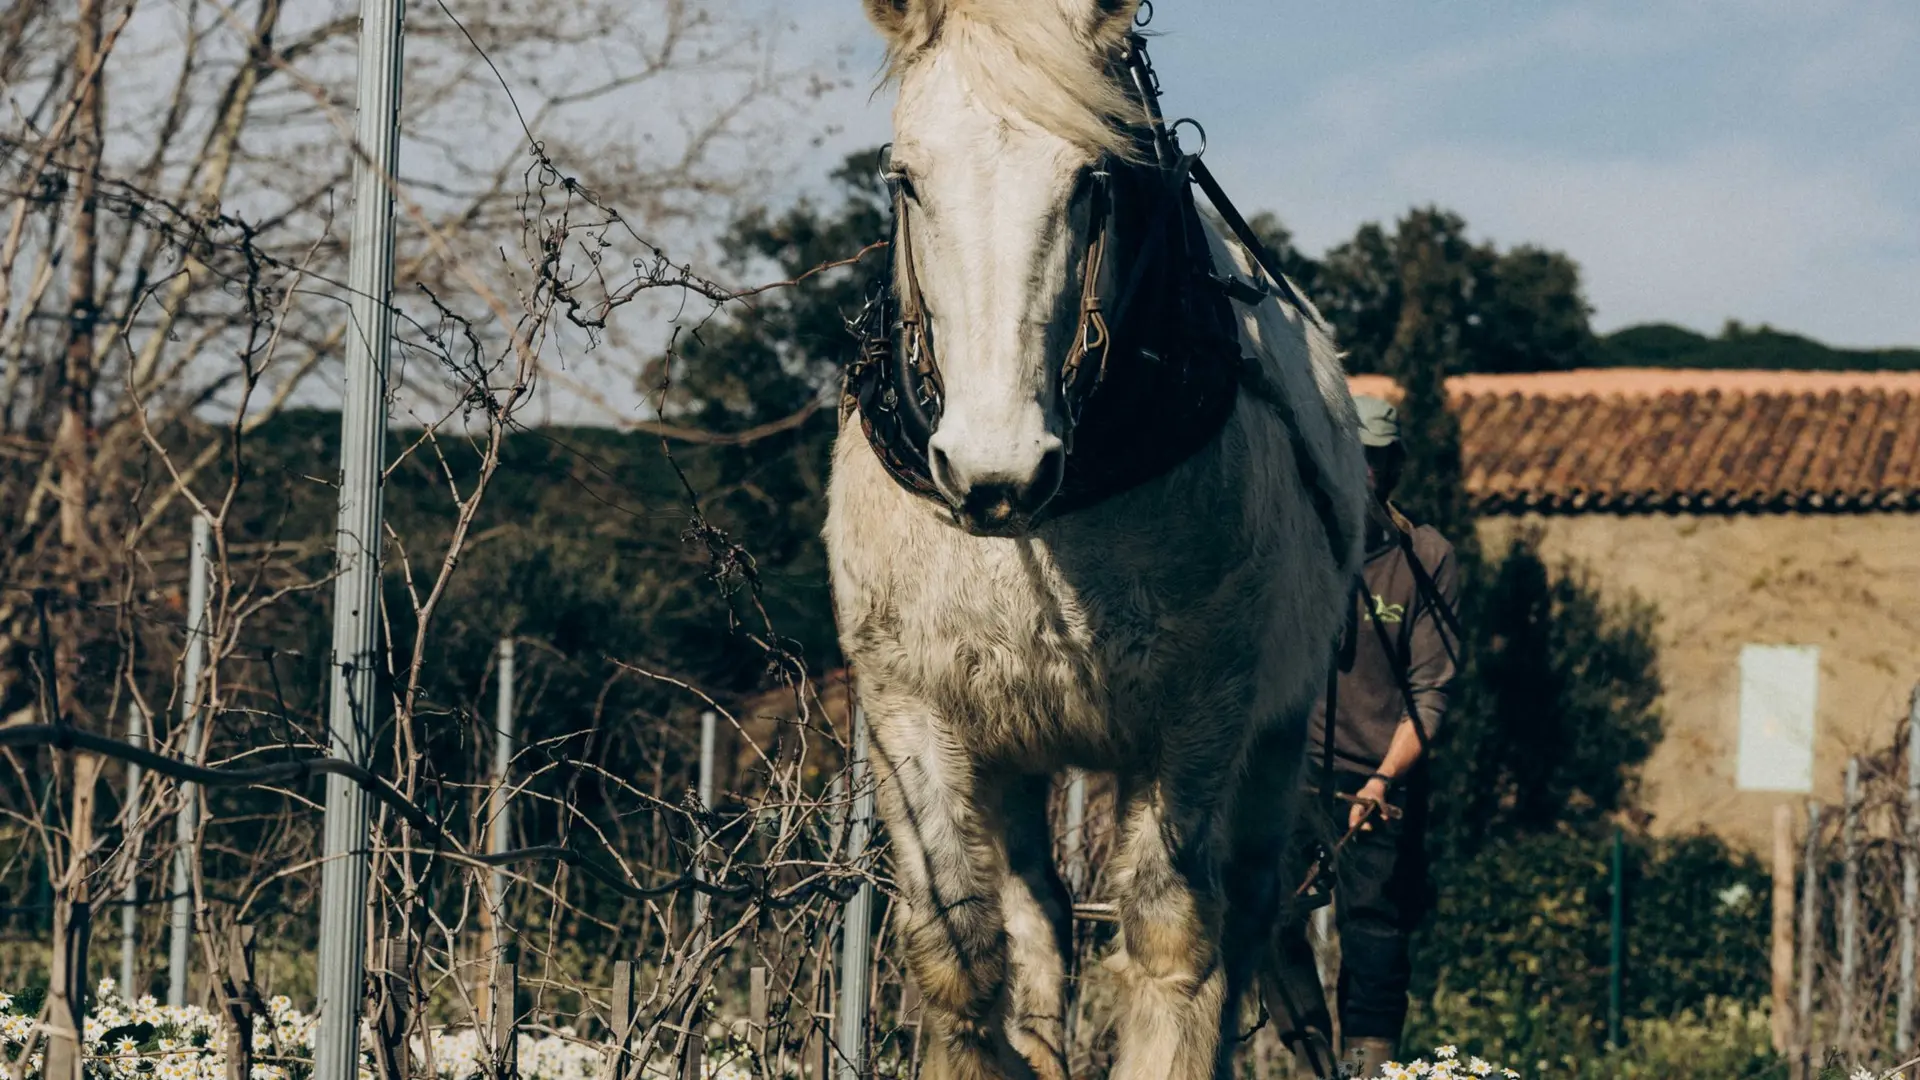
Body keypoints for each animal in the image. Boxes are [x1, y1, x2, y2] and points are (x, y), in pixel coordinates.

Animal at [821, 4, 1367, 1068]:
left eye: (1090, 182)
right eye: (907, 179)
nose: (994, 470)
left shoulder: (1200, 714)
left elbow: (1175, 950)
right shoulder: (911, 707)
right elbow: (959, 953)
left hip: (1276, 731)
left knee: (1246, 918)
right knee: (1038, 924)